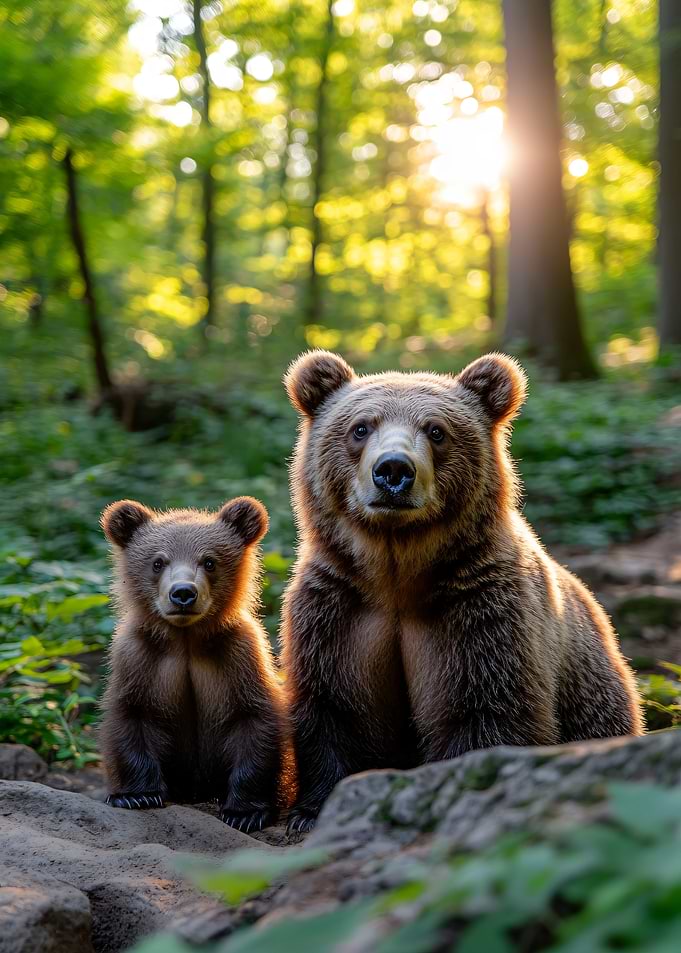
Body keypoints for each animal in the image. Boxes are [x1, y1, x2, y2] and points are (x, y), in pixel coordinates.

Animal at [99, 496, 290, 833]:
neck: (186, 639)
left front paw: (245, 812)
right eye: (158, 562)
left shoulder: (238, 657)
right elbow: (131, 714)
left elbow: (254, 719)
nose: (183, 593)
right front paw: (137, 795)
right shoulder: (140, 658)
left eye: (210, 561)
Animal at [280, 349, 643, 833]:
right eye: (361, 427)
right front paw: (310, 811)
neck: (396, 570)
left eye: (436, 430)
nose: (393, 470)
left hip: (592, 690)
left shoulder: (479, 610)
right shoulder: (338, 608)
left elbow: (486, 709)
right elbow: (336, 706)